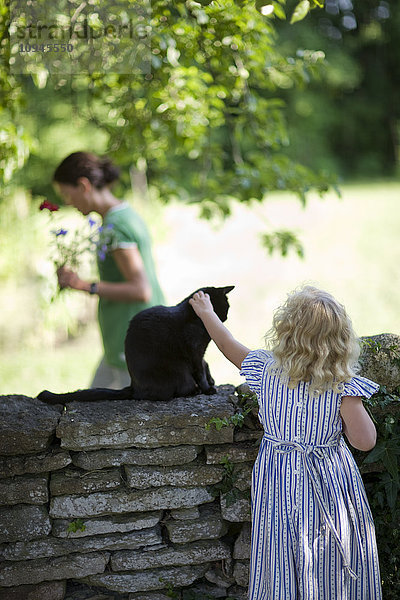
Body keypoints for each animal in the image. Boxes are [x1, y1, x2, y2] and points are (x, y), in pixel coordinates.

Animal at [37, 284, 234, 406]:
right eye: (226, 306)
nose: (225, 317)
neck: (198, 320)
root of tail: (133, 387)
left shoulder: (200, 353)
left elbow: (205, 365)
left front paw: (211, 380)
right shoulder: (194, 351)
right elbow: (200, 370)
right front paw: (208, 388)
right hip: (179, 372)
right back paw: (194, 391)